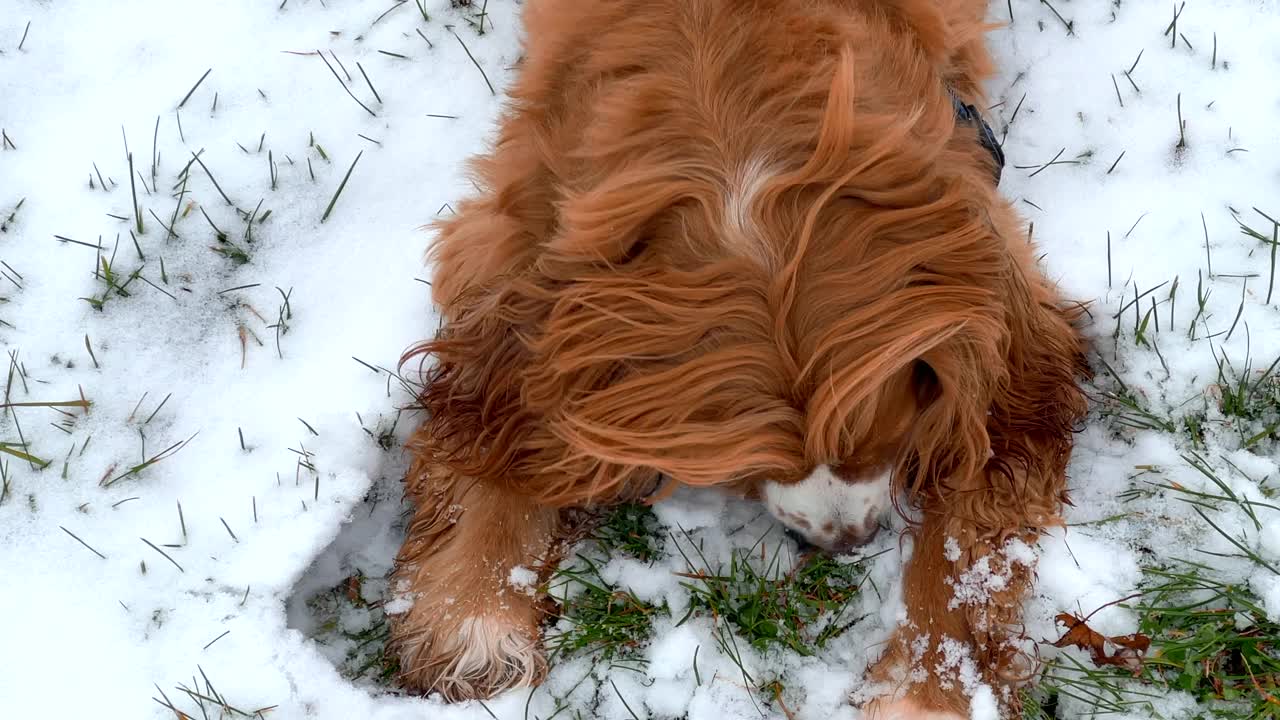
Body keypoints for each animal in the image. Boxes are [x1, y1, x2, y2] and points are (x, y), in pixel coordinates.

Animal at [391, 2, 1090, 712]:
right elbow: (501, 428)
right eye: (745, 470)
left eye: (887, 436)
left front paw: (924, 694)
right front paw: (472, 610)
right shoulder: (524, 249)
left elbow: (963, 544)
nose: (845, 544)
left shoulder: (999, 325)